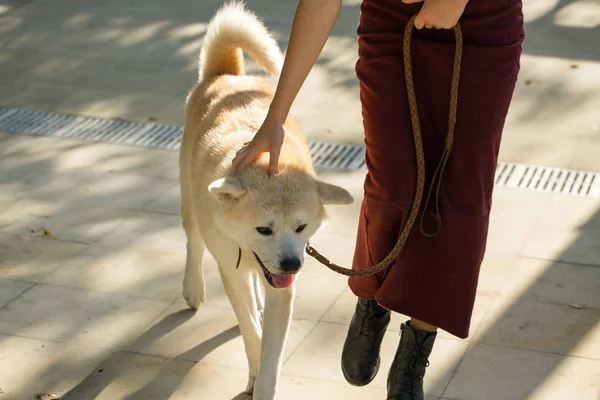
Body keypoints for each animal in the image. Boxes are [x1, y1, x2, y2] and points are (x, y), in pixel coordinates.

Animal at [180, 2, 354, 396]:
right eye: (263, 229)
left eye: (302, 227)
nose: (292, 264)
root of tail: (227, 76)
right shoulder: (231, 269)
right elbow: (251, 333)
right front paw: (254, 369)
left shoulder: (283, 290)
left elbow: (272, 351)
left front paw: (264, 382)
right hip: (189, 201)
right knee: (194, 241)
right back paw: (193, 288)